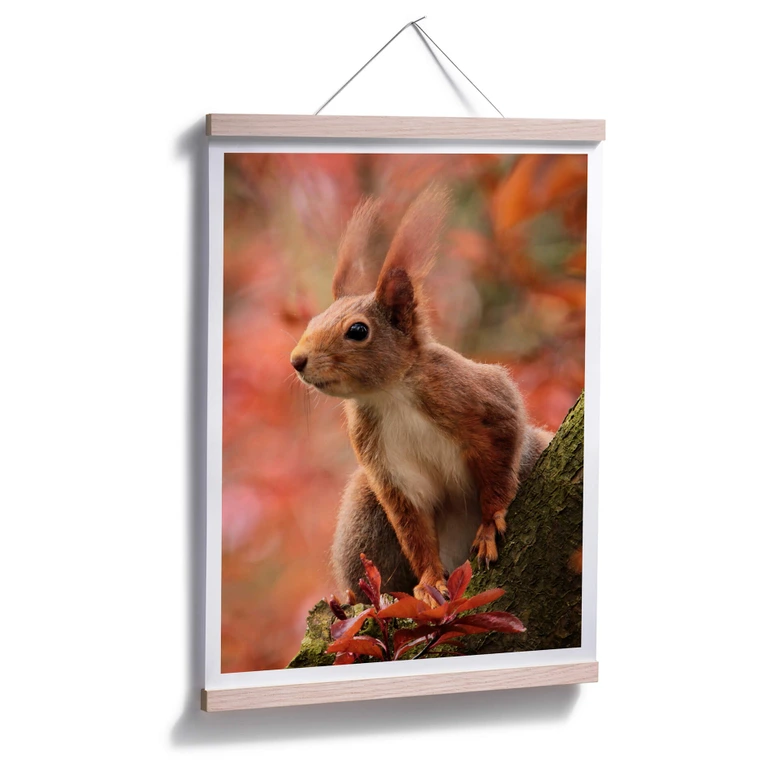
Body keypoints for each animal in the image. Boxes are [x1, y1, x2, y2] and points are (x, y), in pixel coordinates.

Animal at [290, 186, 552, 607]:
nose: (297, 361)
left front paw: (490, 524)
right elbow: (413, 528)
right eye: (312, 321)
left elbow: (501, 454)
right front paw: (429, 583)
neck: (389, 395)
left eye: (358, 330)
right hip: (363, 510)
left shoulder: (479, 399)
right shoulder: (387, 469)